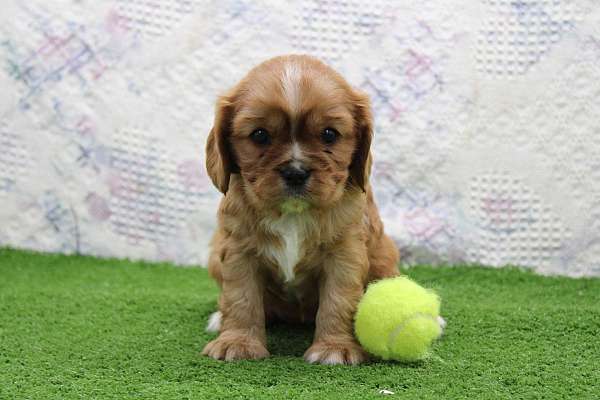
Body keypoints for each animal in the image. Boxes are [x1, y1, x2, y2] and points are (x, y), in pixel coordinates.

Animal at [204, 54, 400, 364]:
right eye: (260, 135)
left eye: (329, 134)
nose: (295, 172)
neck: (292, 214)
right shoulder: (238, 251)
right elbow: (241, 298)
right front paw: (237, 342)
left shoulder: (344, 253)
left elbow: (338, 300)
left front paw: (335, 348)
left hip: (384, 253)